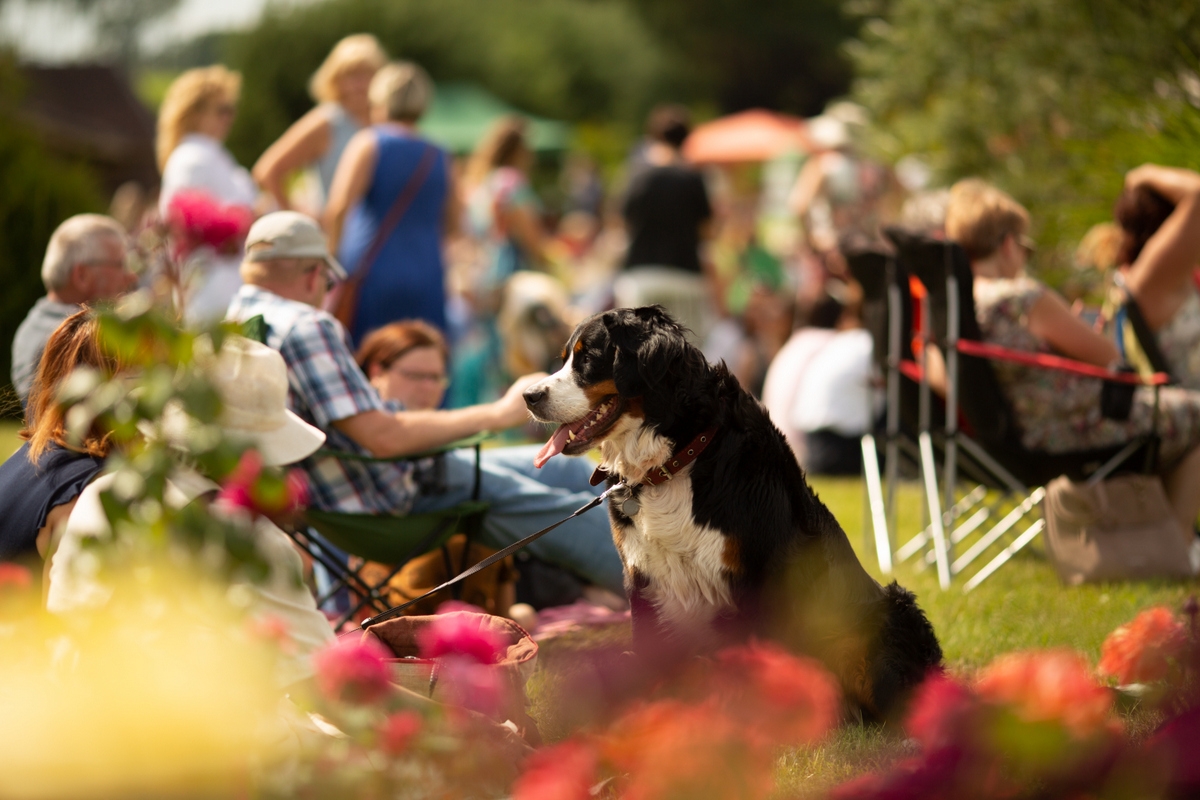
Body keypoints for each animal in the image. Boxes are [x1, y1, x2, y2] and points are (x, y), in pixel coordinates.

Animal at [528, 303, 945, 724]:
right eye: (565, 358)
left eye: (588, 358)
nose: (529, 395)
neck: (675, 461)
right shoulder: (643, 577)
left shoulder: (757, 581)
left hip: (890, 615)